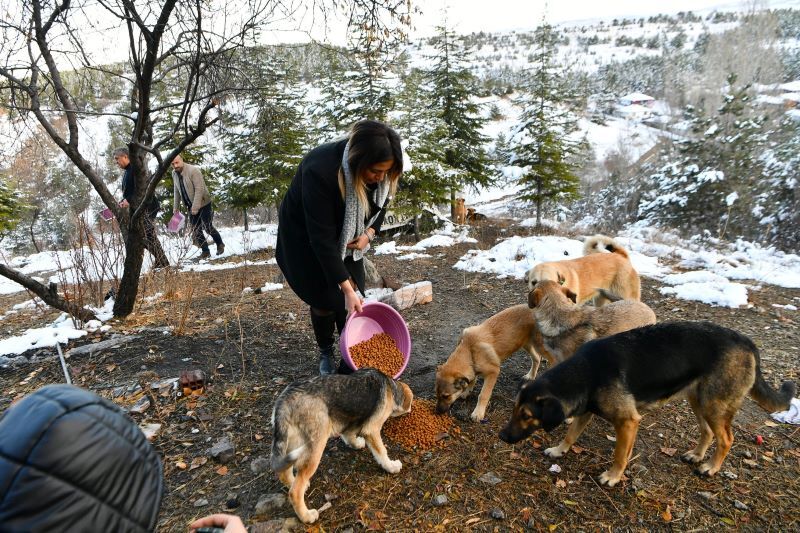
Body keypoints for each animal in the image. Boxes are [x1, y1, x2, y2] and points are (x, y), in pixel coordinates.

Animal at [274, 368, 412, 520]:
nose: (411, 409)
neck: (390, 385)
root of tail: (284, 402)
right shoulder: (372, 430)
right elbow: (382, 452)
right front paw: (391, 466)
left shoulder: (350, 424)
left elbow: (349, 435)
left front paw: (356, 444)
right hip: (315, 447)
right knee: (294, 491)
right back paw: (307, 516)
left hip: (291, 444)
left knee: (284, 473)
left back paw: (295, 483)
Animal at [500, 320, 792, 486]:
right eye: (514, 410)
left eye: (527, 415)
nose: (502, 436)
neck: (585, 373)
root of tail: (748, 342)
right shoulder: (586, 410)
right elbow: (570, 434)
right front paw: (559, 450)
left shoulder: (628, 422)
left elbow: (620, 454)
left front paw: (613, 477)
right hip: (698, 400)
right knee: (708, 432)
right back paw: (697, 455)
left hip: (713, 405)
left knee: (726, 439)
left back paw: (710, 467)